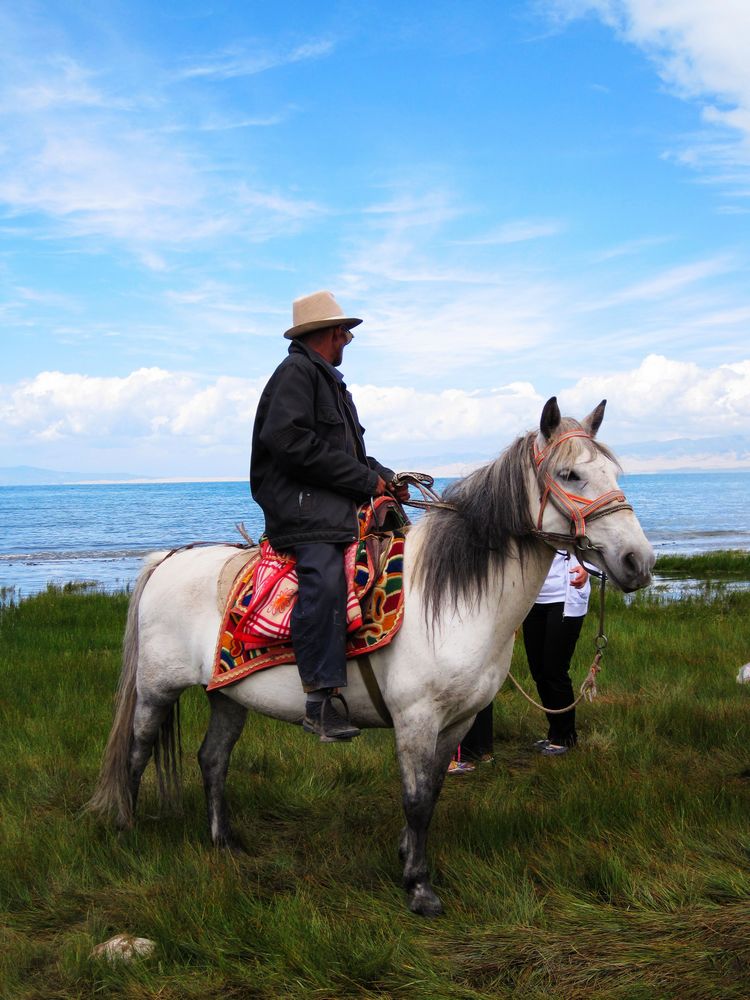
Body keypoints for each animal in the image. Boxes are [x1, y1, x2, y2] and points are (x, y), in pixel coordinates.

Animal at [86, 398, 652, 916]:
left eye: (613, 472)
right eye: (569, 474)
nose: (638, 562)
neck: (450, 596)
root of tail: (168, 559)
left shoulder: (457, 721)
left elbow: (432, 794)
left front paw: (408, 857)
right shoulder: (417, 717)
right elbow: (416, 797)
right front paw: (419, 888)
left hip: (228, 693)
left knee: (213, 759)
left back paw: (224, 841)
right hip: (156, 689)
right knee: (136, 753)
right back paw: (127, 830)